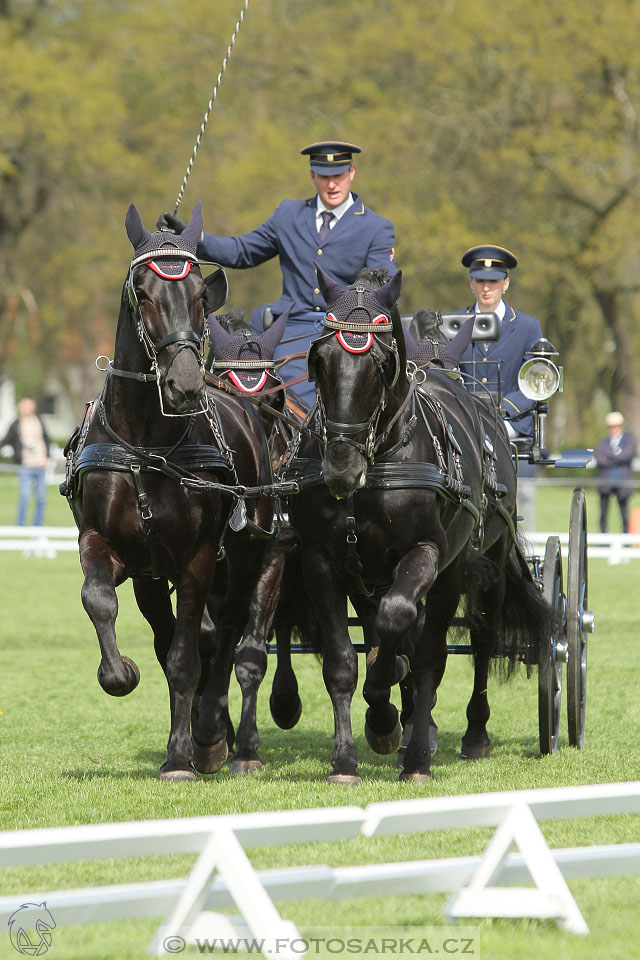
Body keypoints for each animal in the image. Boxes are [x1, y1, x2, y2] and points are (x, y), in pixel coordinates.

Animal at [63, 204, 274, 780]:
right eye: (143, 290)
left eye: (201, 293)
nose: (184, 383)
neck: (145, 446)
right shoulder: (109, 547)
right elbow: (99, 600)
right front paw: (120, 673)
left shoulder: (198, 557)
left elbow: (188, 657)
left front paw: (182, 755)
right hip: (155, 579)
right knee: (184, 634)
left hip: (249, 557)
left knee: (229, 638)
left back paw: (217, 737)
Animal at [290, 266, 556, 784]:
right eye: (320, 359)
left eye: (380, 363)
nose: (340, 467)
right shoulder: (322, 561)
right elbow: (343, 662)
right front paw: (350, 754)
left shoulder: (428, 554)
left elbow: (407, 631)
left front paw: (397, 731)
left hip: (477, 565)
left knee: (473, 643)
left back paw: (461, 738)